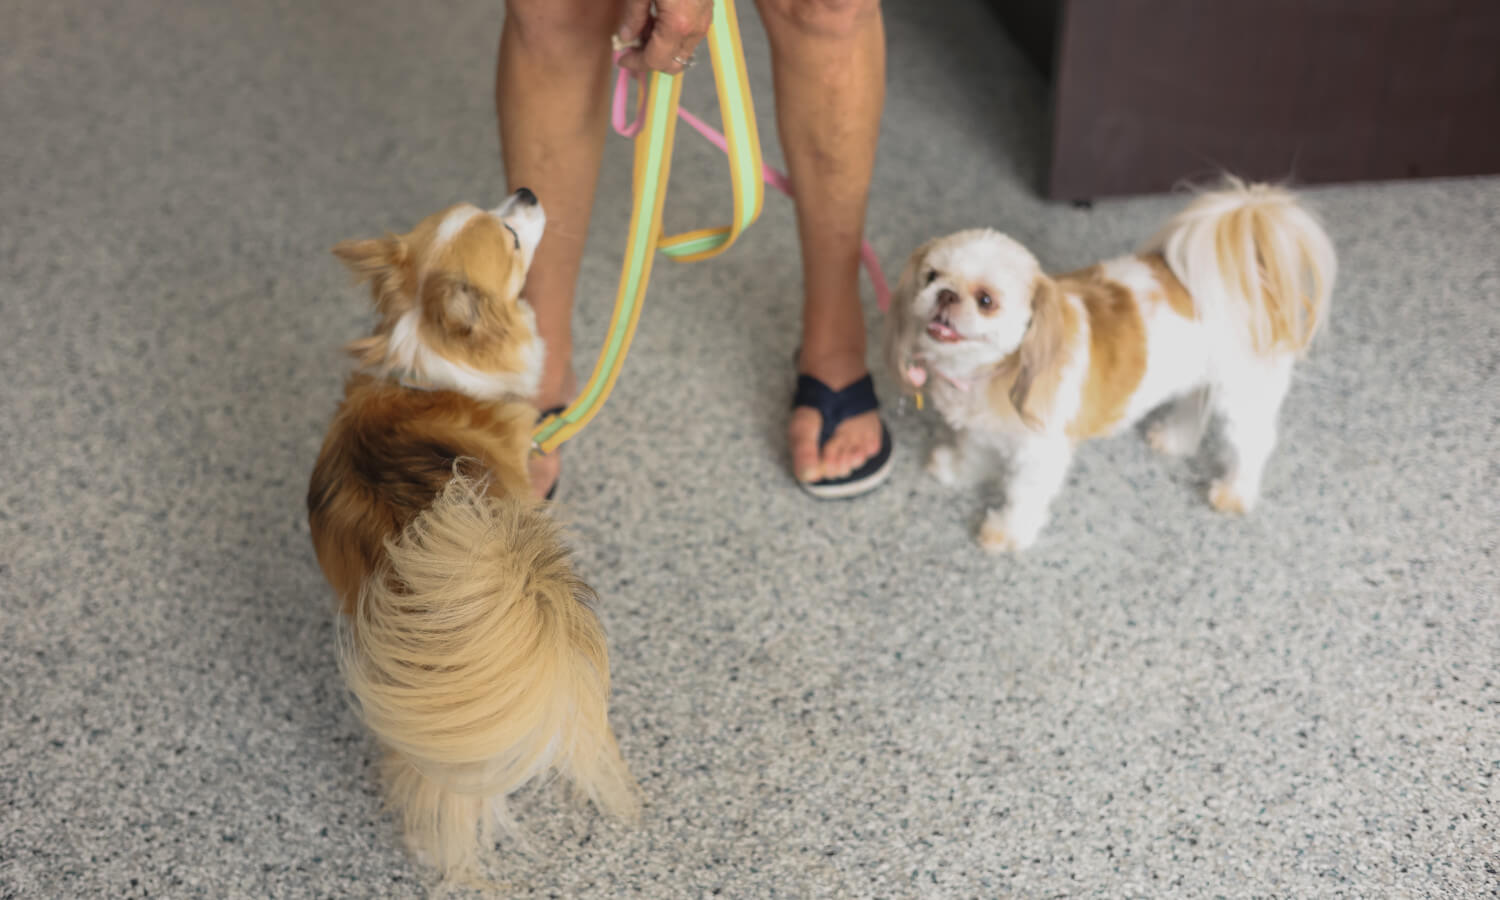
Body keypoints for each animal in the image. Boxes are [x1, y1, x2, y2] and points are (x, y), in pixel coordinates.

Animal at [876, 177, 1338, 549]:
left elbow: (1022, 497)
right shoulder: (979, 429)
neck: (988, 374)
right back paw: (1174, 439)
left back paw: (1234, 492)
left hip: (1242, 392)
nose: (946, 295)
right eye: (931, 276)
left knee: (1252, 444)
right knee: (1194, 406)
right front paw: (955, 470)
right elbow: (971, 452)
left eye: (986, 300)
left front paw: (1004, 534)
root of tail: (1250, 274)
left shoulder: (1040, 453)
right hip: (1202, 378)